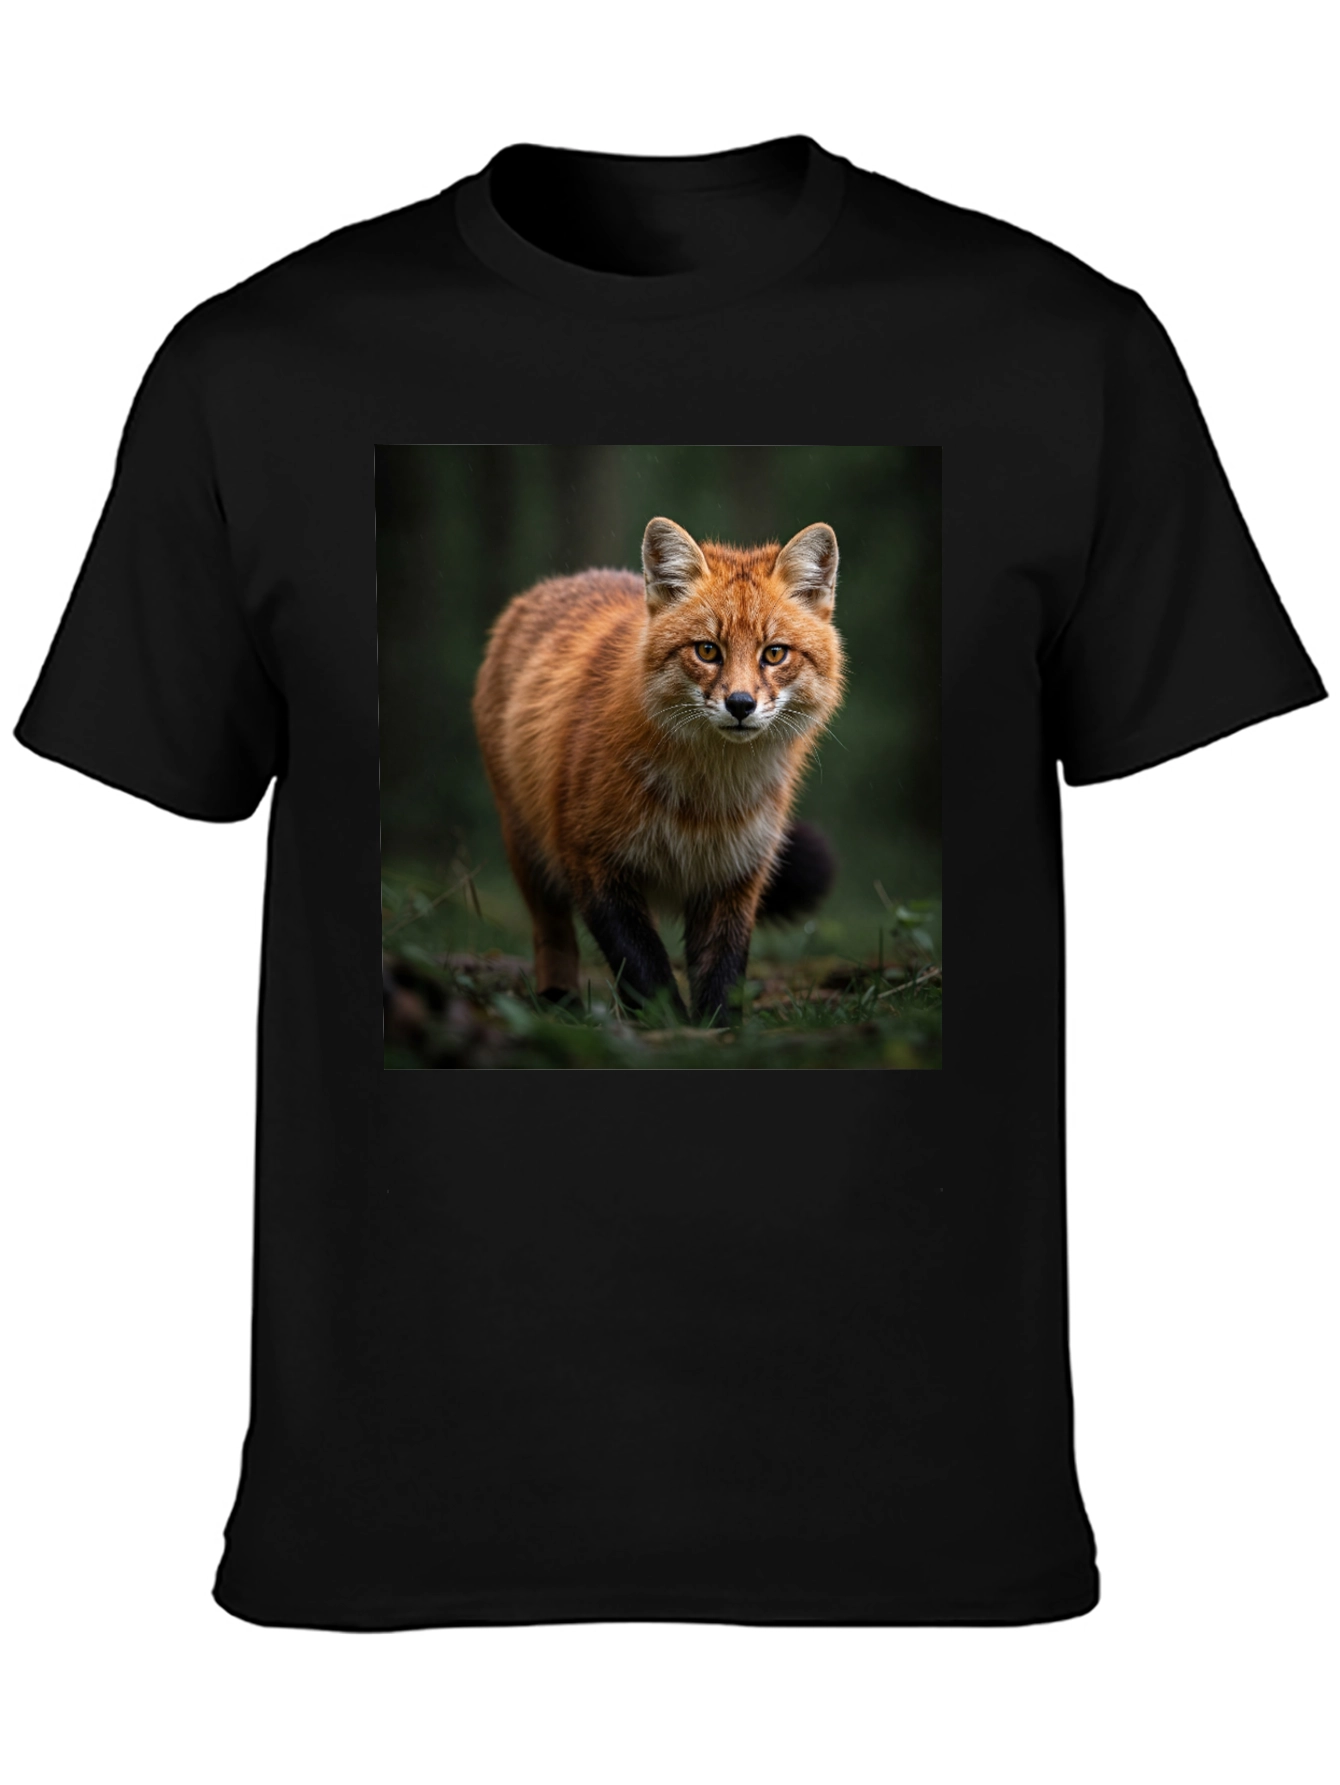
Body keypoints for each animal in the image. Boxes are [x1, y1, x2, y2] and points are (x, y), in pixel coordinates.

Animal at [472, 515, 845, 1023]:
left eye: (774, 654)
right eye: (707, 651)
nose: (740, 704)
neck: (702, 805)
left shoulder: (735, 873)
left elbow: (723, 973)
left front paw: (717, 1032)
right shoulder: (591, 861)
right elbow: (644, 968)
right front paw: (669, 1028)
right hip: (528, 851)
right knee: (552, 936)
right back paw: (559, 1002)